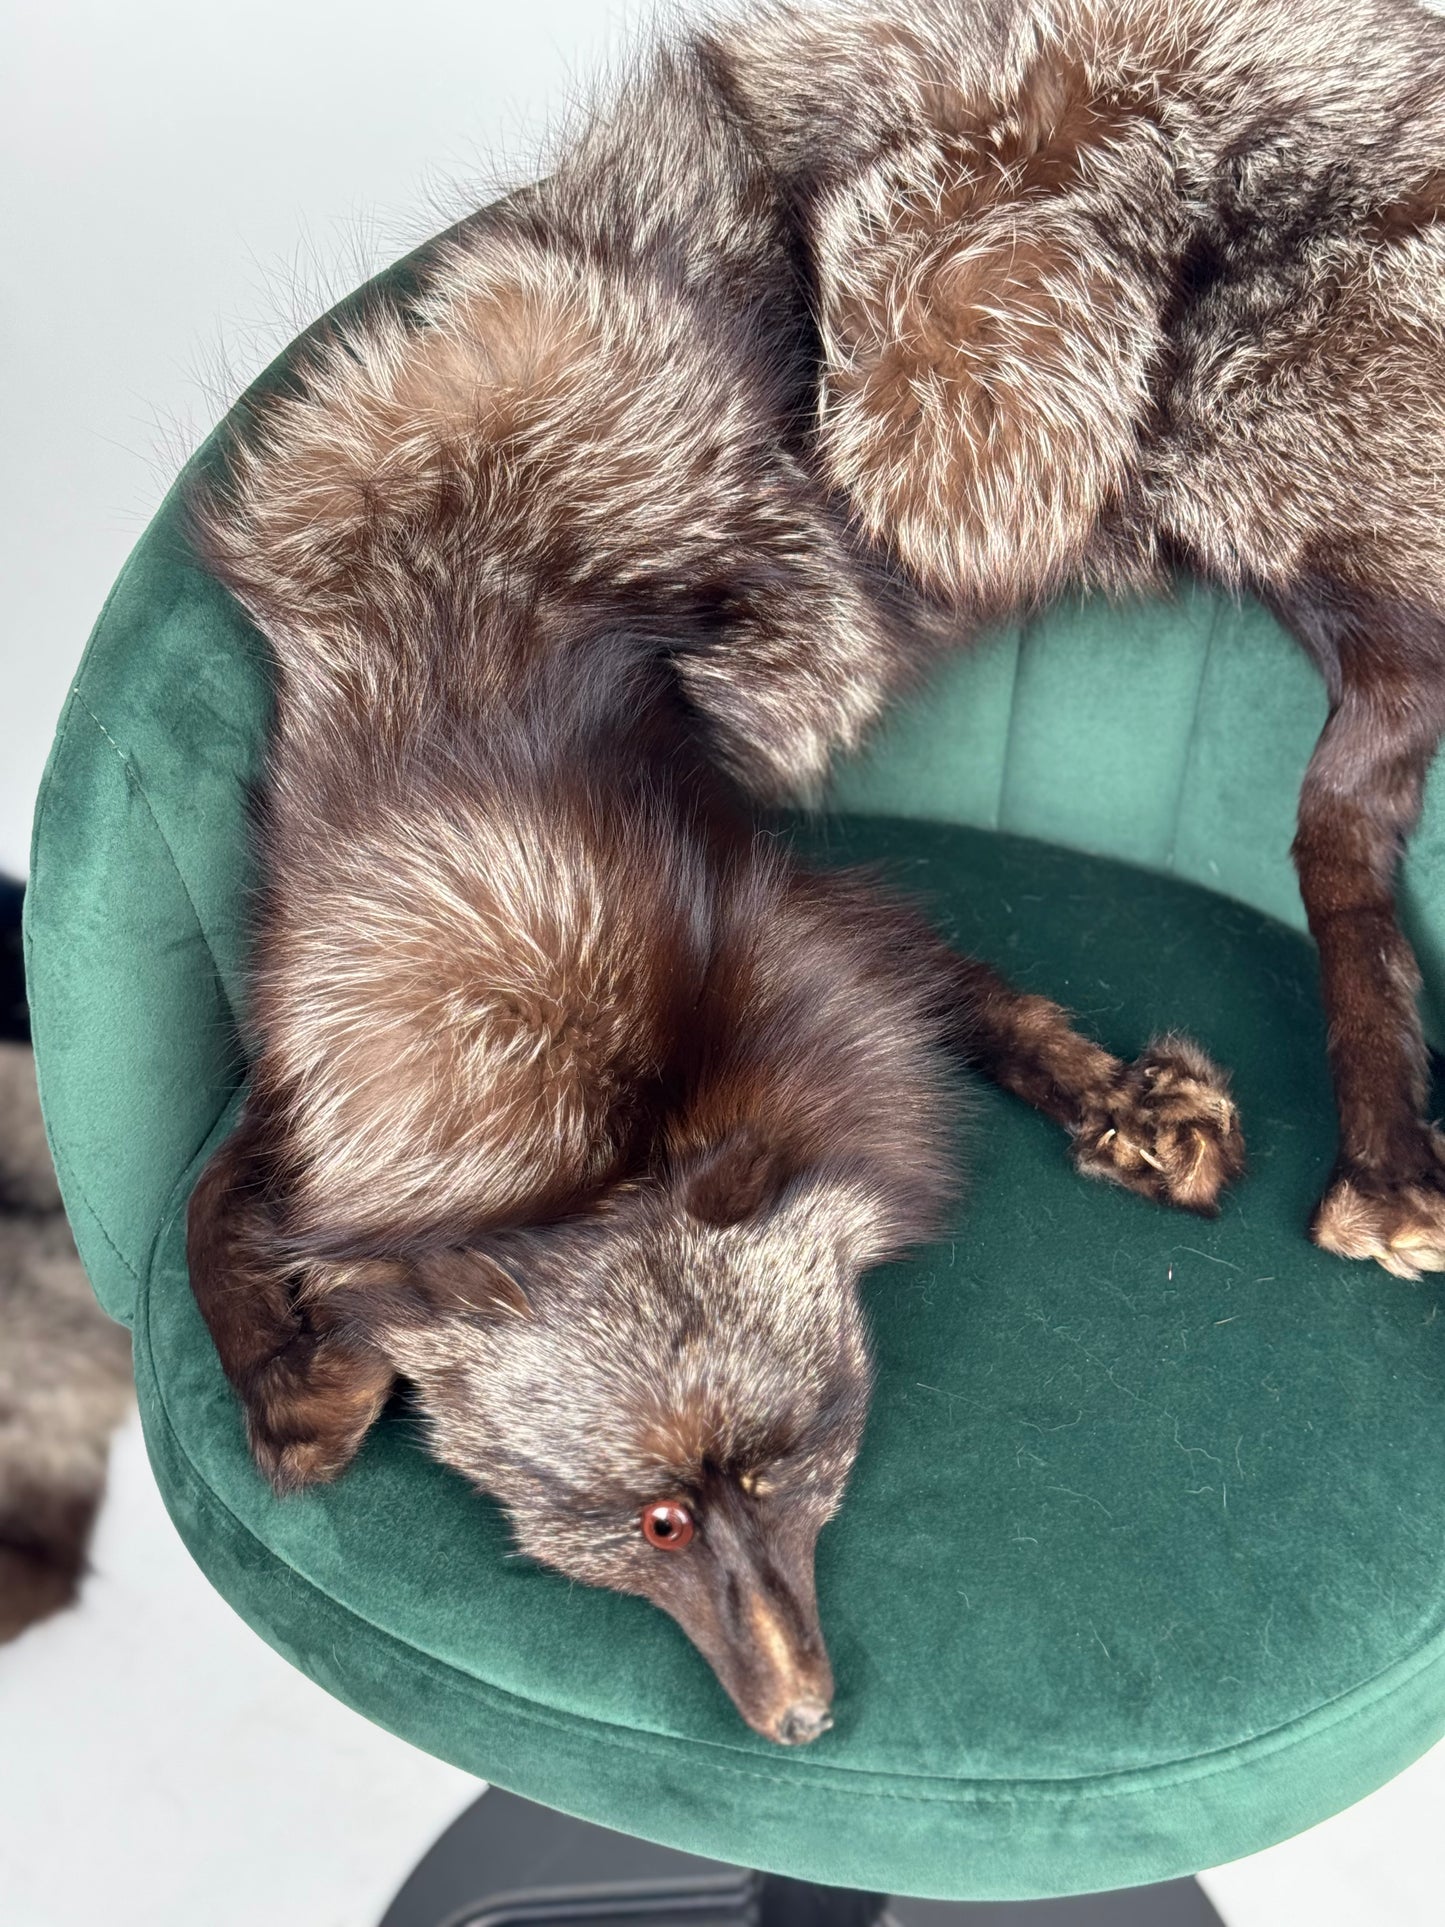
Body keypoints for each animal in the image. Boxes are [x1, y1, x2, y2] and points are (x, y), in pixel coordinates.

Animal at [184, 10, 1248, 1743]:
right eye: (655, 1522)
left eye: (791, 1457)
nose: (805, 1720)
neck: (601, 1129)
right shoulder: (303, 1069)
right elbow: (230, 1193)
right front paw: (298, 1376)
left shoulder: (795, 915)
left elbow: (981, 1000)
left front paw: (1110, 1091)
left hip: (831, 589)